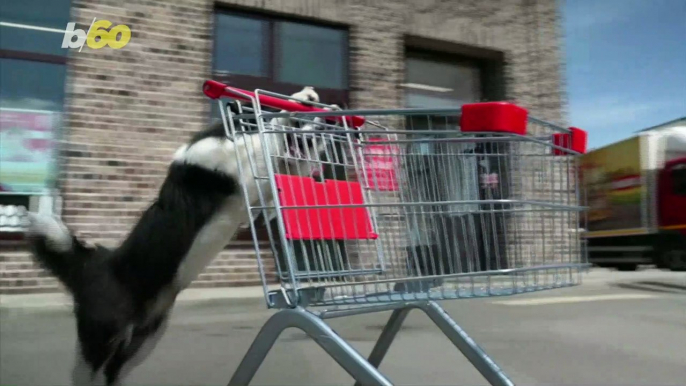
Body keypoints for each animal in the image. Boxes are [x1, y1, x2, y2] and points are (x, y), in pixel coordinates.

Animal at [26, 87, 326, 386]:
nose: (323, 124)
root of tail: (93, 264)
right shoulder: (236, 166)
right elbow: (273, 128)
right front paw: (299, 99)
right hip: (102, 337)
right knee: (89, 373)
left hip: (143, 340)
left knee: (113, 372)